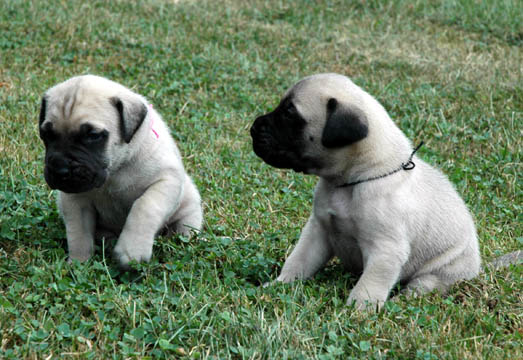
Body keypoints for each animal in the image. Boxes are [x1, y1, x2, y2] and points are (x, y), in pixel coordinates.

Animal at [38, 75, 203, 268]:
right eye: (46, 134)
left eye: (93, 136)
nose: (60, 168)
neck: (115, 171)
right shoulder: (75, 200)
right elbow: (78, 232)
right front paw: (79, 262)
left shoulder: (166, 180)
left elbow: (145, 206)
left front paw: (131, 251)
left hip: (189, 205)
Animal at [250, 74, 484, 310]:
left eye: (290, 114)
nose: (253, 127)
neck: (351, 181)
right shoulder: (317, 231)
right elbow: (298, 261)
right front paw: (278, 285)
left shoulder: (385, 250)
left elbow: (370, 284)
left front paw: (357, 310)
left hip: (441, 272)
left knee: (420, 287)